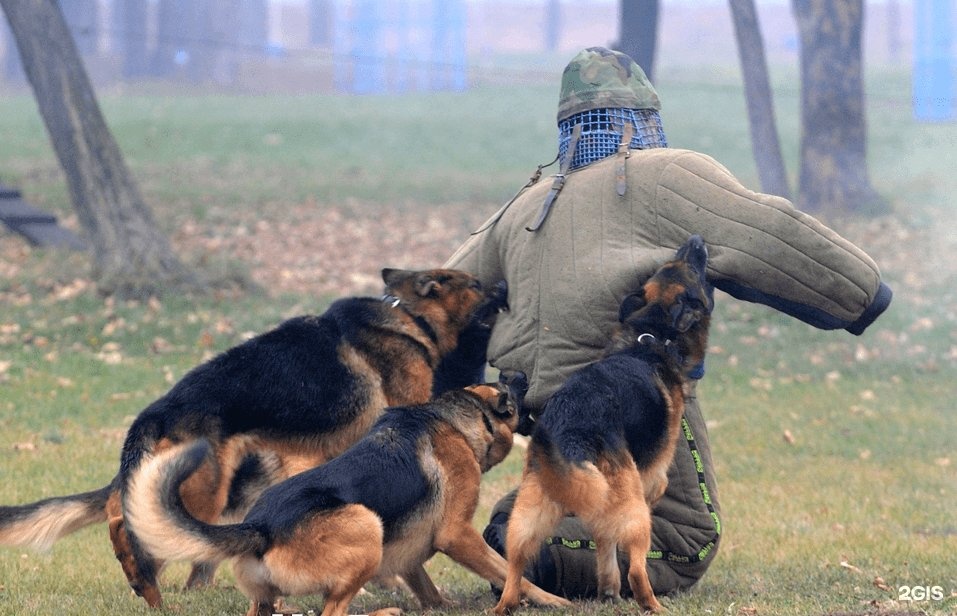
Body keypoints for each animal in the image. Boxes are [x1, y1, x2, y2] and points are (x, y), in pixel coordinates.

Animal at [0, 268, 508, 608]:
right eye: (477, 286)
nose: (504, 287)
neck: (410, 316)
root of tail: (152, 415)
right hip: (205, 490)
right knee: (130, 522)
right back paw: (149, 584)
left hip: (229, 484)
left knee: (140, 521)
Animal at [126, 370, 576, 616]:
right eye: (507, 390)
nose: (520, 373)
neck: (457, 417)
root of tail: (261, 526)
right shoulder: (457, 535)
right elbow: (509, 571)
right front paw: (551, 600)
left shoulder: (409, 545)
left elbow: (422, 580)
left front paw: (440, 606)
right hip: (366, 522)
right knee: (332, 612)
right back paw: (384, 611)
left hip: (268, 595)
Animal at [492, 237, 708, 616]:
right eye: (694, 271)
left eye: (668, 266)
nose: (694, 241)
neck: (652, 336)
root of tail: (571, 434)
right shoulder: (652, 471)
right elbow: (660, 482)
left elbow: (605, 546)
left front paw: (608, 588)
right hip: (634, 513)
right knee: (637, 569)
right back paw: (654, 605)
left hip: (525, 517)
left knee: (513, 568)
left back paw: (508, 602)